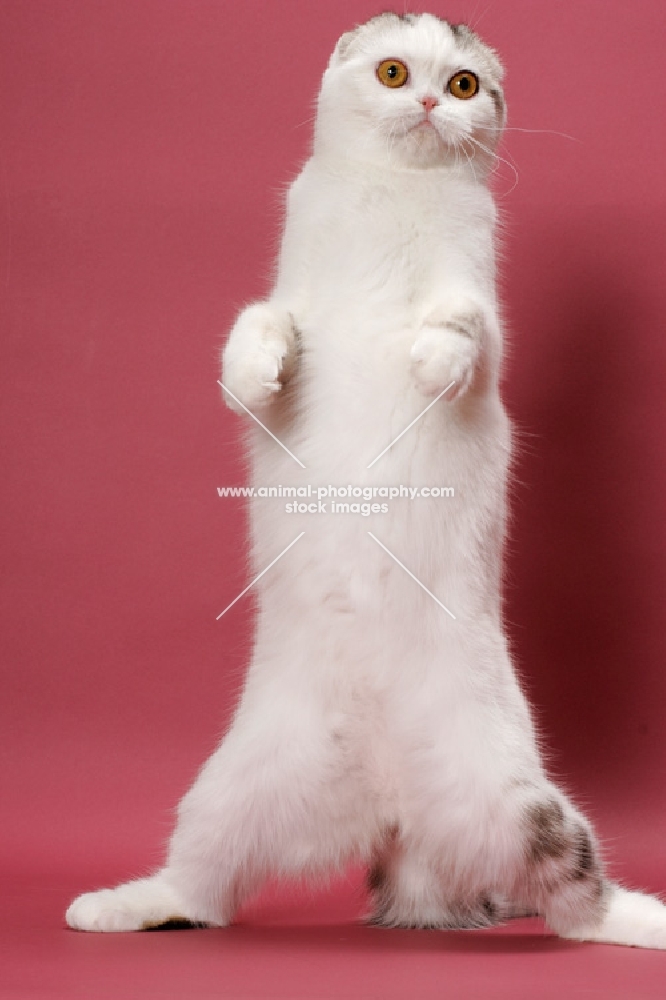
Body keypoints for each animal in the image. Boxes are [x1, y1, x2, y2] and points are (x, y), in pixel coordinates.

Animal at [66, 11, 664, 948]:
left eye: (463, 84)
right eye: (393, 72)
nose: (426, 102)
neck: (390, 201)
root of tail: (395, 816)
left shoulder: (485, 328)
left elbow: (463, 325)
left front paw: (428, 360)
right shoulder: (284, 307)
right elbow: (257, 323)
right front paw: (252, 370)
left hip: (519, 800)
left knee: (579, 900)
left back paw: (647, 920)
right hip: (225, 795)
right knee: (200, 890)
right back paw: (114, 906)